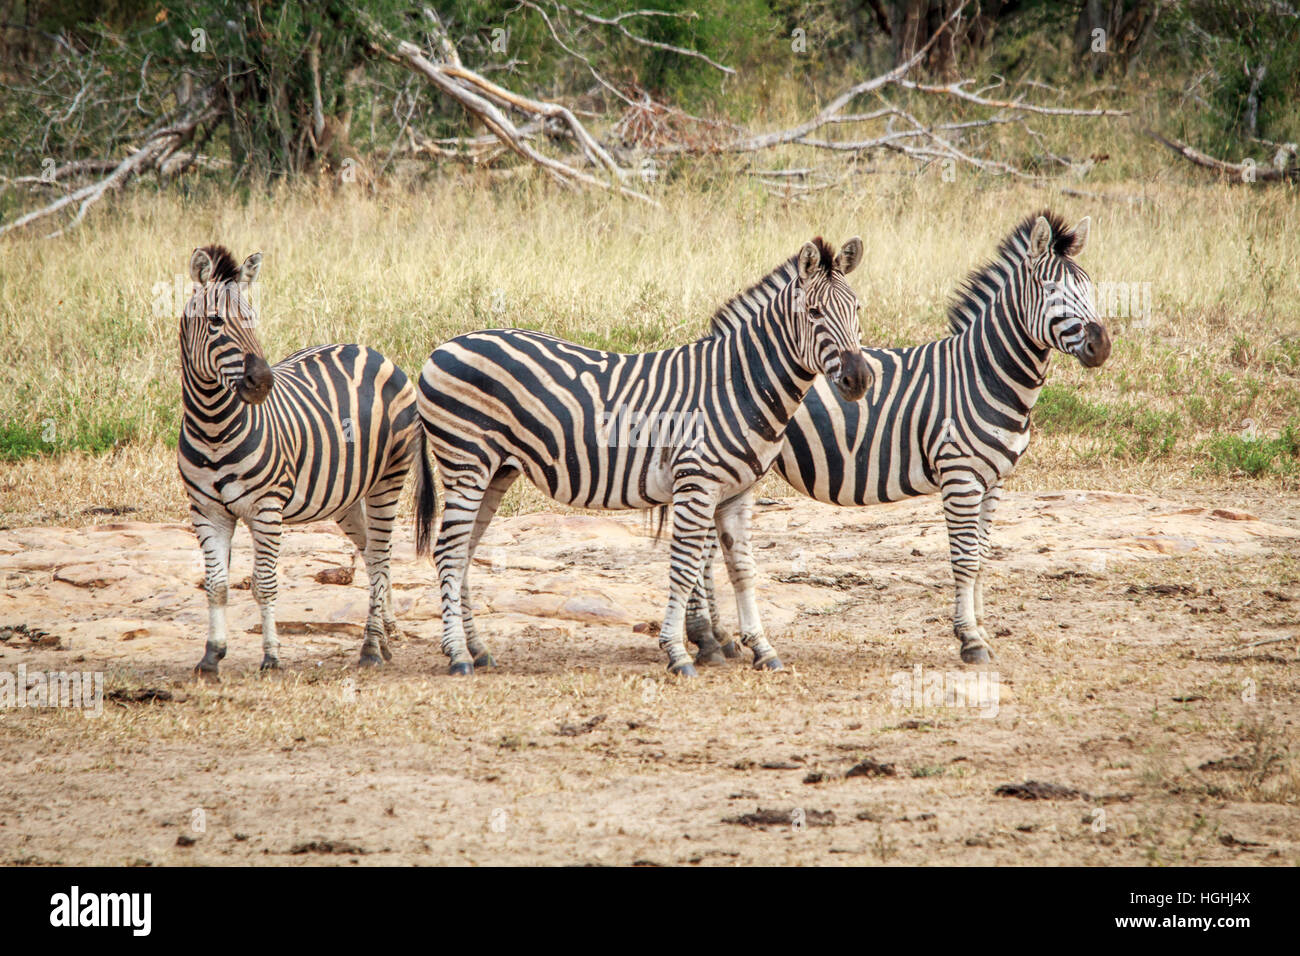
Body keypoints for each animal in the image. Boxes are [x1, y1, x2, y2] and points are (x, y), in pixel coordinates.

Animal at [179, 245, 436, 678]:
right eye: (214, 322)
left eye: (253, 318)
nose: (263, 382)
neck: (214, 427)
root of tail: (372, 351)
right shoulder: (207, 511)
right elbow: (216, 585)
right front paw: (211, 656)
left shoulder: (267, 508)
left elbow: (264, 584)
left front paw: (271, 657)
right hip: (347, 495)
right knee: (372, 558)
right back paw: (384, 636)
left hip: (388, 479)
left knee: (381, 554)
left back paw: (370, 647)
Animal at [416, 237, 870, 677]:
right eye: (814, 312)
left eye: (857, 309)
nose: (860, 379)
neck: (738, 383)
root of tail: (444, 347)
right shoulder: (696, 484)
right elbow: (685, 569)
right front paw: (679, 653)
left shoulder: (737, 494)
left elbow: (742, 569)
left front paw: (762, 649)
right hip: (466, 462)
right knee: (449, 553)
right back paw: (458, 655)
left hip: (497, 470)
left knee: (464, 553)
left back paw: (478, 650)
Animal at [687, 211, 1111, 665]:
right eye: (1051, 290)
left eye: (1088, 286)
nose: (1101, 346)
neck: (984, 374)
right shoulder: (960, 475)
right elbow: (964, 559)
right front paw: (970, 639)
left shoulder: (994, 480)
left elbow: (981, 556)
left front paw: (981, 630)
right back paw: (708, 639)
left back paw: (718, 637)